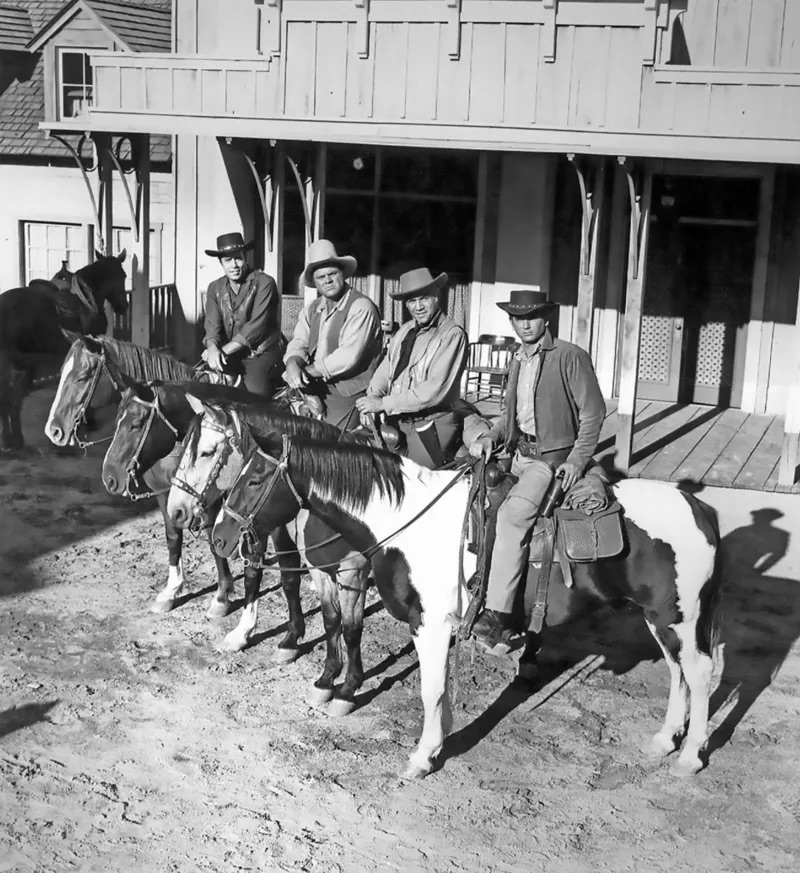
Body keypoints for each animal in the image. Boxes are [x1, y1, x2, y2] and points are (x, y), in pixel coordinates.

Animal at [208, 432, 724, 780]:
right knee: (677, 670)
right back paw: (665, 740)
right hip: (661, 619)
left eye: (255, 478)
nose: (218, 536)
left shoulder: (430, 623)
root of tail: (698, 506)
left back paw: (690, 754)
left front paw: (423, 756)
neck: (407, 520)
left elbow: (431, 689)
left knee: (698, 673)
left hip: (680, 616)